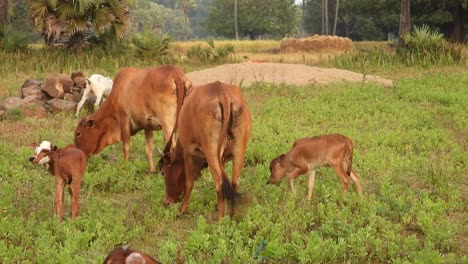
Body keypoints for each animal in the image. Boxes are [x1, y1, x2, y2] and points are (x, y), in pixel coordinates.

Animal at [158, 81, 252, 221]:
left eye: (163, 172)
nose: (166, 202)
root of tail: (222, 93)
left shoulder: (188, 153)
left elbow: (189, 182)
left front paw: (182, 209)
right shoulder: (222, 159)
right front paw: (218, 206)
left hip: (211, 152)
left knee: (219, 184)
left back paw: (220, 220)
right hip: (239, 150)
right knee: (233, 183)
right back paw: (231, 216)